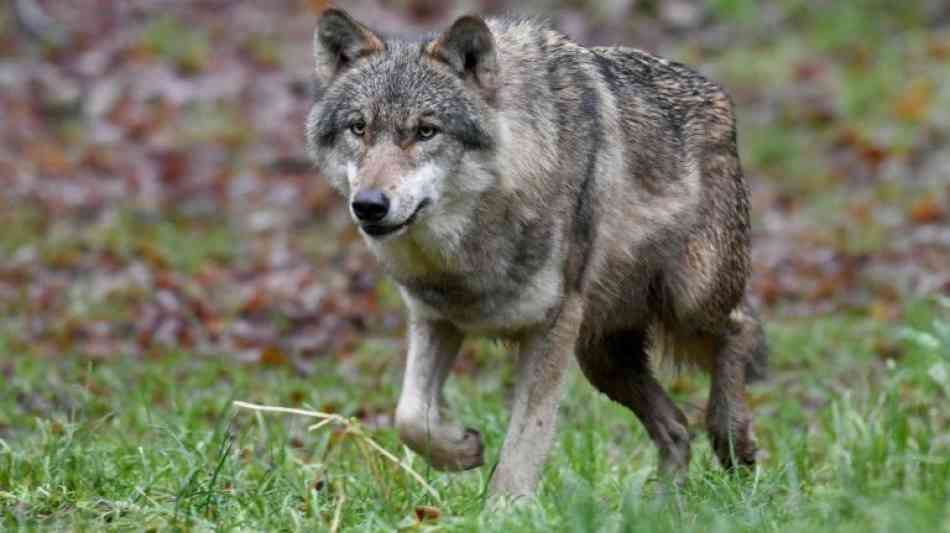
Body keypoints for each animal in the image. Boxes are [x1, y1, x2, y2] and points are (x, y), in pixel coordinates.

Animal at [304, 8, 768, 496]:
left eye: (426, 131)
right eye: (359, 128)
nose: (369, 205)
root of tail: (718, 92)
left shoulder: (551, 327)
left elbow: (526, 440)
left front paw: (506, 505)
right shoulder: (434, 317)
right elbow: (409, 417)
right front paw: (463, 450)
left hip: (687, 302)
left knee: (741, 328)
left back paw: (733, 438)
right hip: (602, 359)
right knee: (677, 428)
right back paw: (663, 501)